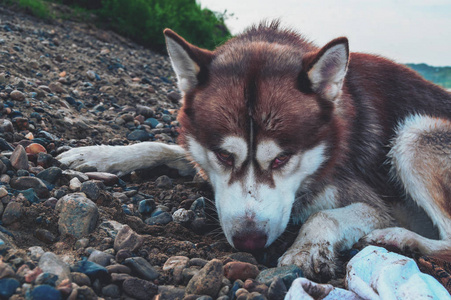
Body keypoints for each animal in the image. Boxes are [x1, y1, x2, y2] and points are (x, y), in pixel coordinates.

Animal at [59, 22, 451, 282]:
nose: (249, 241)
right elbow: (159, 146)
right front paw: (97, 154)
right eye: (223, 156)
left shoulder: (375, 204)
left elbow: (322, 216)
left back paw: (399, 239)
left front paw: (307, 249)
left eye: (282, 159)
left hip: (414, 134)